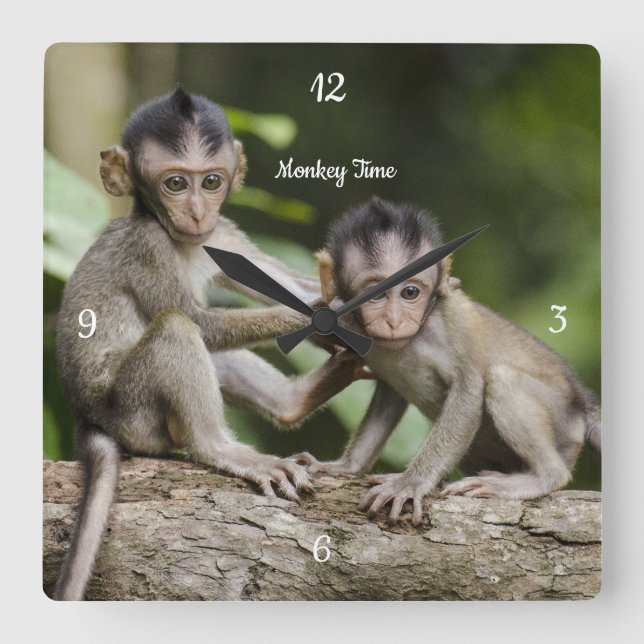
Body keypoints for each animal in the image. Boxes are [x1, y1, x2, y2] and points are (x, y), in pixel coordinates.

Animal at [53, 88, 366, 600]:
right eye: (176, 183)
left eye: (212, 181)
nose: (198, 211)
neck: (181, 241)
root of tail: (87, 417)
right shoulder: (147, 245)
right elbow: (201, 321)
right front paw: (326, 318)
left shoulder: (222, 233)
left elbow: (282, 286)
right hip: (133, 413)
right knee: (178, 327)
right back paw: (220, 448)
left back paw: (295, 401)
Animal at [296, 197, 601, 526]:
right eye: (374, 295)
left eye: (410, 292)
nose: (394, 321)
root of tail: (580, 402)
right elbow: (389, 397)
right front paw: (346, 466)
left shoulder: (452, 323)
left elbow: (468, 392)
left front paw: (409, 483)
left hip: (561, 418)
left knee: (502, 379)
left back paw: (543, 477)